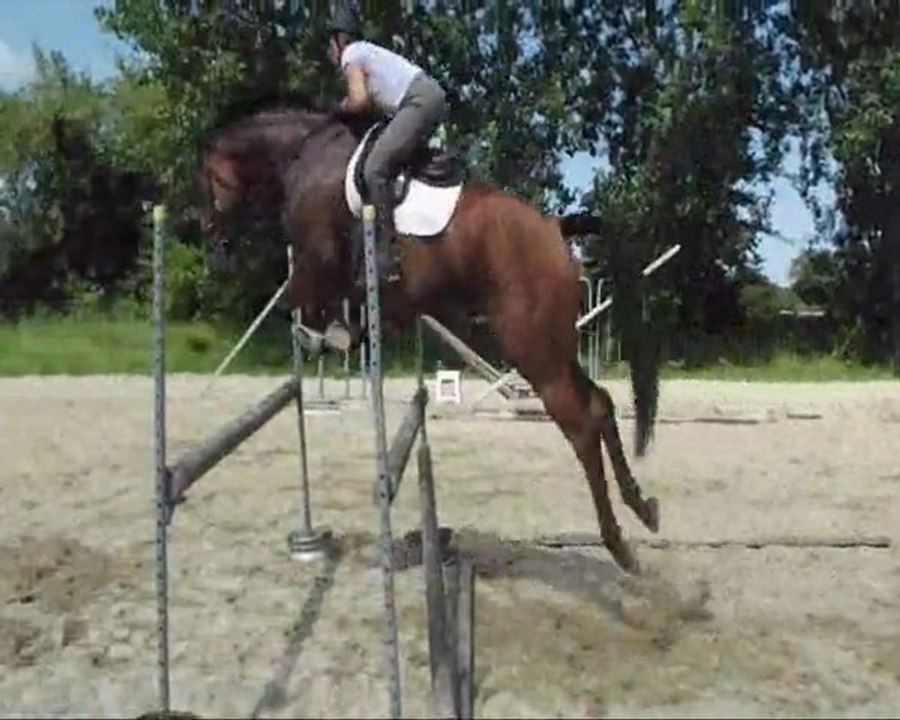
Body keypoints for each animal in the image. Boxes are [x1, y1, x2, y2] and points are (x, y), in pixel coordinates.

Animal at [196, 100, 661, 574]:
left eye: (208, 178)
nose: (209, 237)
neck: (304, 154)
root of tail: (553, 226)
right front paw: (345, 335)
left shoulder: (316, 263)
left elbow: (300, 306)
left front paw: (331, 337)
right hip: (553, 346)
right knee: (601, 404)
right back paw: (642, 506)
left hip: (533, 351)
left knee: (581, 426)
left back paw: (617, 543)